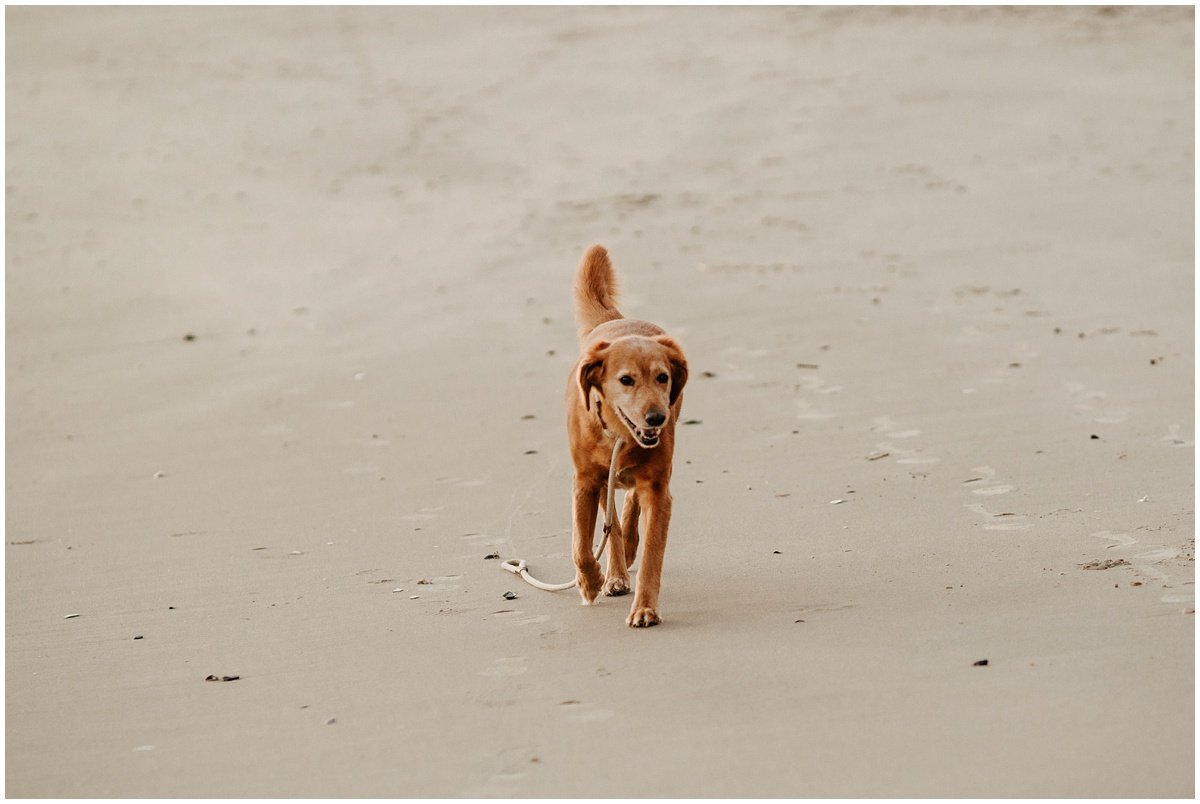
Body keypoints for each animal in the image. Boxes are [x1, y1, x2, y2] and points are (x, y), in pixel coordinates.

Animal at [566, 247, 691, 628]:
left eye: (663, 377)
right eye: (626, 380)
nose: (657, 417)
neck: (619, 433)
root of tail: (618, 320)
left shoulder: (659, 492)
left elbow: (652, 555)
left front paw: (645, 608)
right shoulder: (585, 482)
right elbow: (581, 545)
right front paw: (590, 581)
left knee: (630, 506)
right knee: (612, 525)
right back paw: (615, 575)